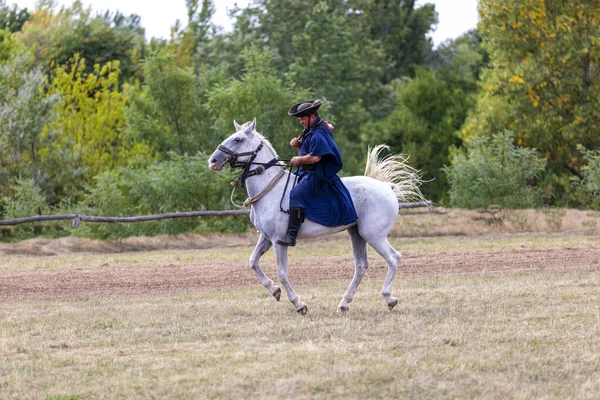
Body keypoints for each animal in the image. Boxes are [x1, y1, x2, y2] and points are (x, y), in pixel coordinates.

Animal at [209, 118, 424, 312]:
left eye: (237, 139)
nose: (213, 161)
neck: (270, 188)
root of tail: (386, 187)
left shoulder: (278, 242)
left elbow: (282, 273)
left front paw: (298, 304)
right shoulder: (266, 238)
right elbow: (253, 262)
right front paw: (274, 290)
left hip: (374, 236)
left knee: (393, 258)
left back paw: (388, 298)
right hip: (357, 234)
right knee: (361, 266)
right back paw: (344, 303)